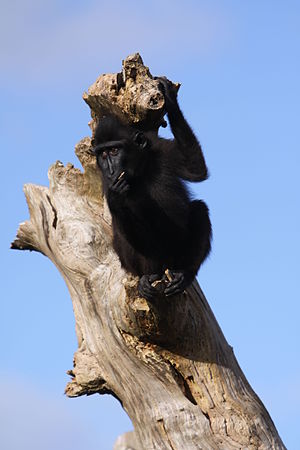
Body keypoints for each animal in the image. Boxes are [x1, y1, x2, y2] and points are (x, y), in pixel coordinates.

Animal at [91, 79, 211, 300]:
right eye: (103, 154)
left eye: (114, 150)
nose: (111, 169)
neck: (140, 169)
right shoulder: (106, 183)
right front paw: (118, 197)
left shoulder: (160, 148)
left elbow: (196, 169)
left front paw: (171, 102)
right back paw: (148, 277)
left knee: (200, 209)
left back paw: (185, 274)